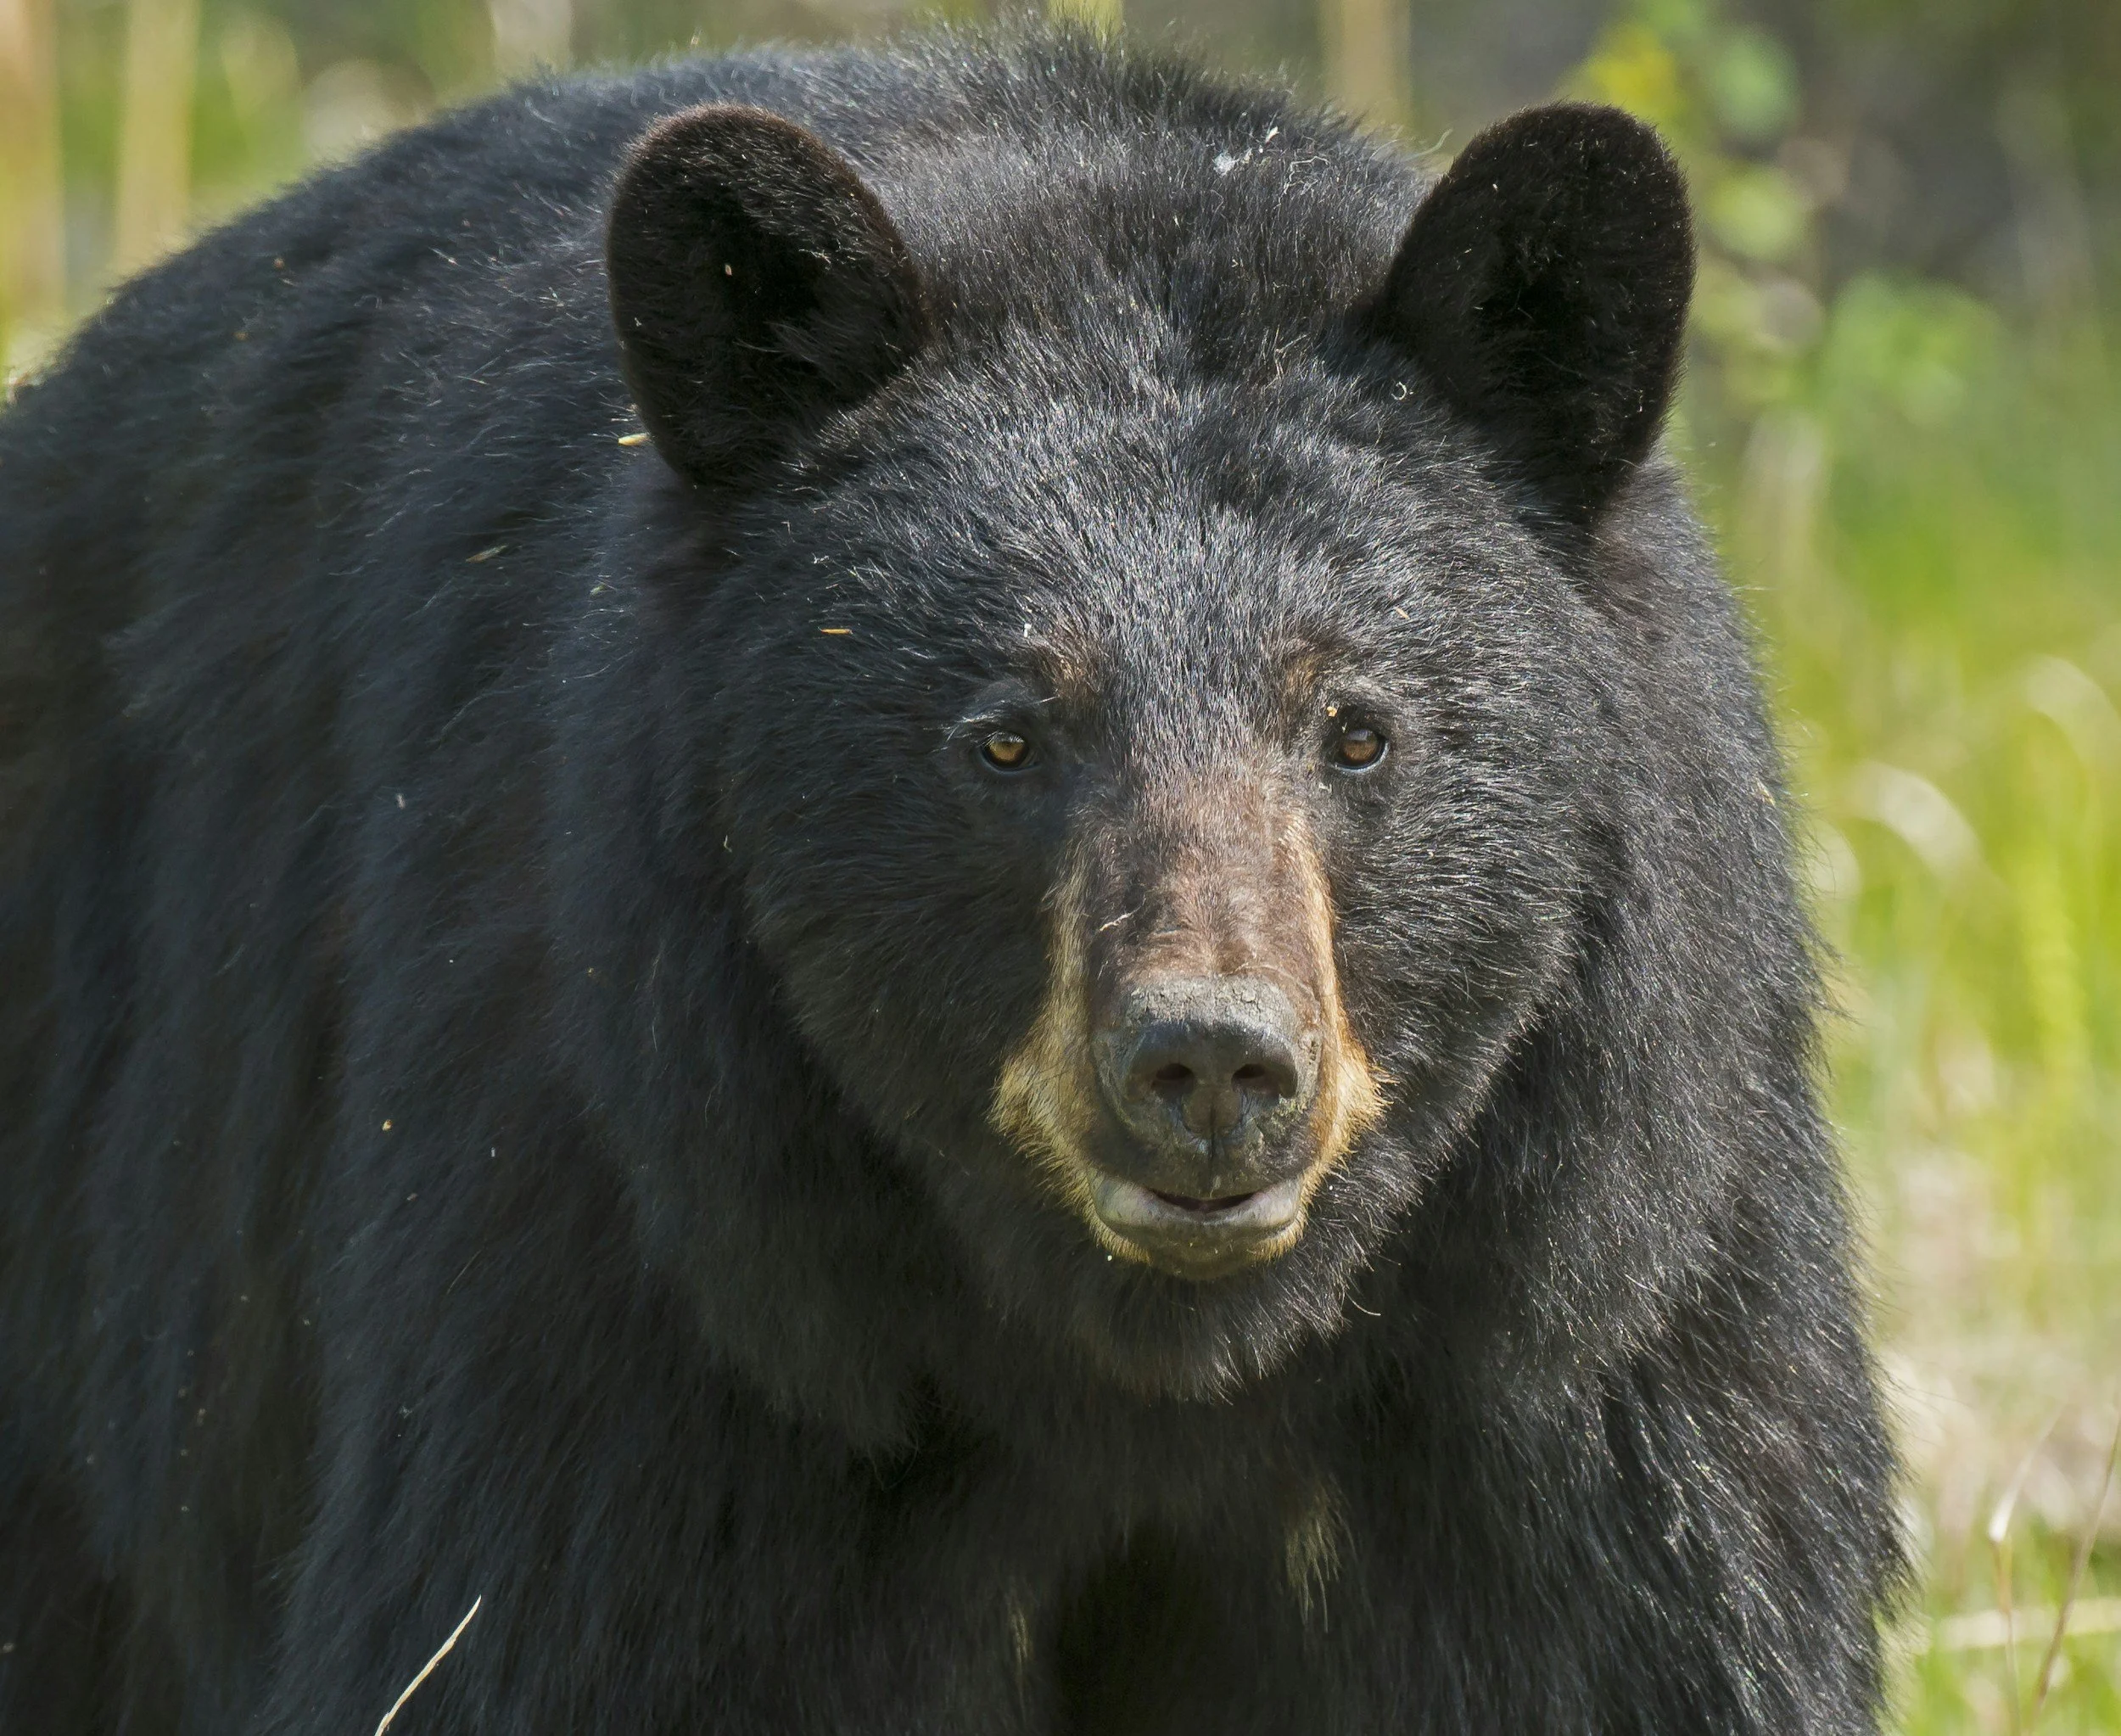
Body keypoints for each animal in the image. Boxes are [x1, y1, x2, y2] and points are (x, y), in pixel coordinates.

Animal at [0, 25, 1901, 1735]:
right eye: (1005, 737)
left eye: (1357, 731)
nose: (1210, 1063)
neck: (1144, 1363)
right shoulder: (645, 1263)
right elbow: (536, 1639)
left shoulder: (1579, 1339)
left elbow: (1644, 1643)